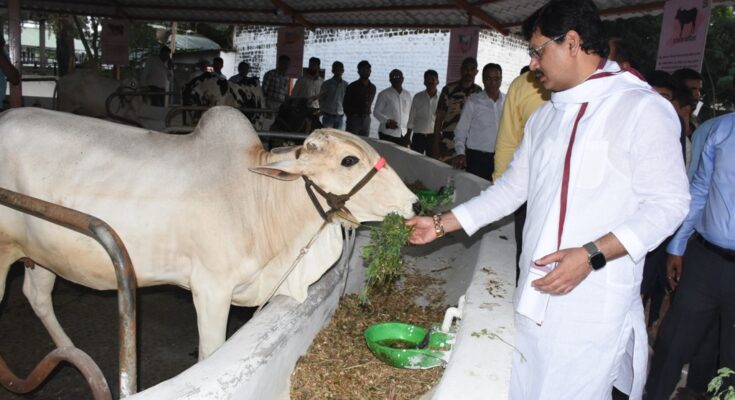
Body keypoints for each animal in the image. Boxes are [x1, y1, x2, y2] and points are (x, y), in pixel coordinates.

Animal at [0, 106, 416, 360]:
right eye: (349, 160)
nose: (414, 205)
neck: (257, 196)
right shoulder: (211, 289)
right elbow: (210, 353)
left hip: (42, 253)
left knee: (37, 297)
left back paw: (71, 353)